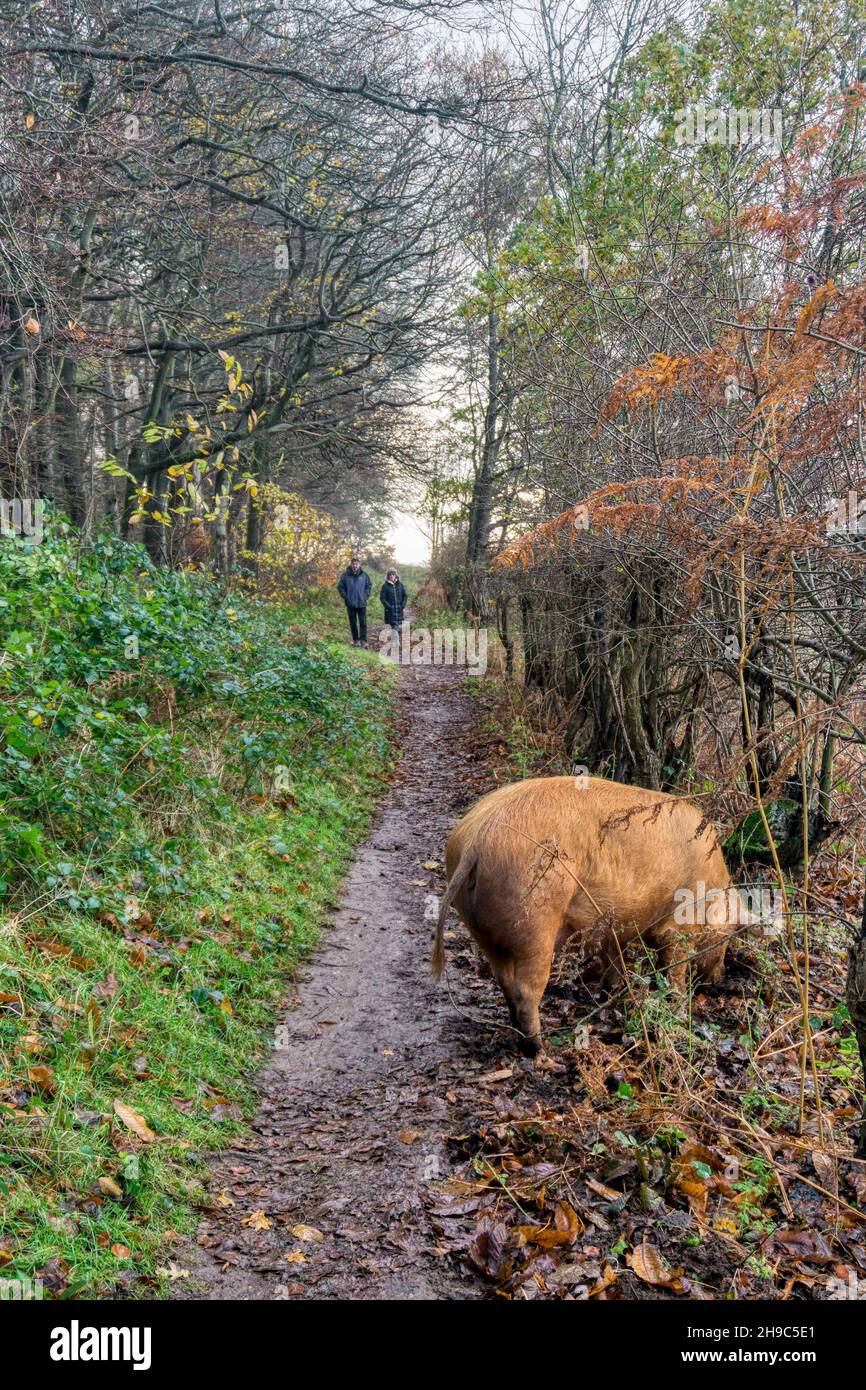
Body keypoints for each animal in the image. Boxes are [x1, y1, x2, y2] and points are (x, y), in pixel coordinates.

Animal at [436, 778, 750, 1056]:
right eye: (729, 936)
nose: (720, 978)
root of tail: (476, 841)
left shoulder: (616, 924)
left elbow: (613, 957)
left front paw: (611, 991)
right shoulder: (678, 925)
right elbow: (673, 965)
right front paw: (679, 1006)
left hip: (480, 930)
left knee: (503, 979)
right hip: (535, 923)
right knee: (526, 989)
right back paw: (542, 1050)